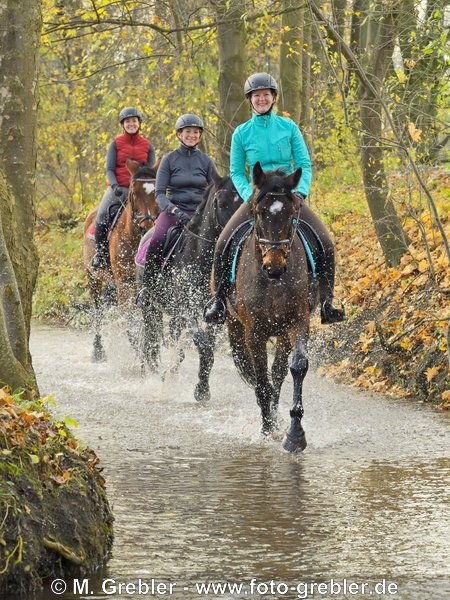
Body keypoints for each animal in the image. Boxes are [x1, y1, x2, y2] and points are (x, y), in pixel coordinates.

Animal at [83, 157, 159, 360]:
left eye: (156, 193)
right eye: (134, 193)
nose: (146, 226)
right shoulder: (124, 283)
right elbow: (131, 322)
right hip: (92, 277)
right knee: (98, 311)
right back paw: (98, 350)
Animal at [137, 173, 243, 398]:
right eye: (220, 203)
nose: (234, 233)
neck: (199, 257)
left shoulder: (213, 314)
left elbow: (208, 348)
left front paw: (202, 389)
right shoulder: (186, 309)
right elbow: (202, 344)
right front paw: (200, 390)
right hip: (150, 306)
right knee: (148, 338)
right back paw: (149, 372)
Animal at [224, 162, 316, 452]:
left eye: (292, 214)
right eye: (259, 212)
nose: (274, 267)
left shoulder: (298, 323)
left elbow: (296, 367)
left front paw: (295, 434)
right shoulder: (254, 332)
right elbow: (261, 377)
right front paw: (267, 429)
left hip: (283, 333)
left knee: (277, 373)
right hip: (234, 327)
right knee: (258, 374)